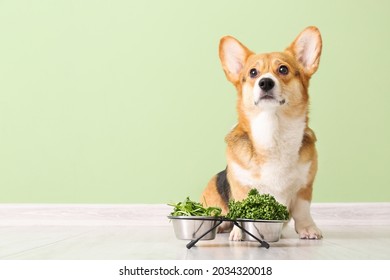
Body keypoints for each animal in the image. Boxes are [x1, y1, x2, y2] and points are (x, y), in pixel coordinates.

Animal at [201, 26, 322, 241]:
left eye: (283, 69)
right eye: (253, 72)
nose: (265, 82)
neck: (273, 130)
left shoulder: (304, 187)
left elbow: (302, 211)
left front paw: (308, 229)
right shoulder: (242, 186)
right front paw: (239, 233)